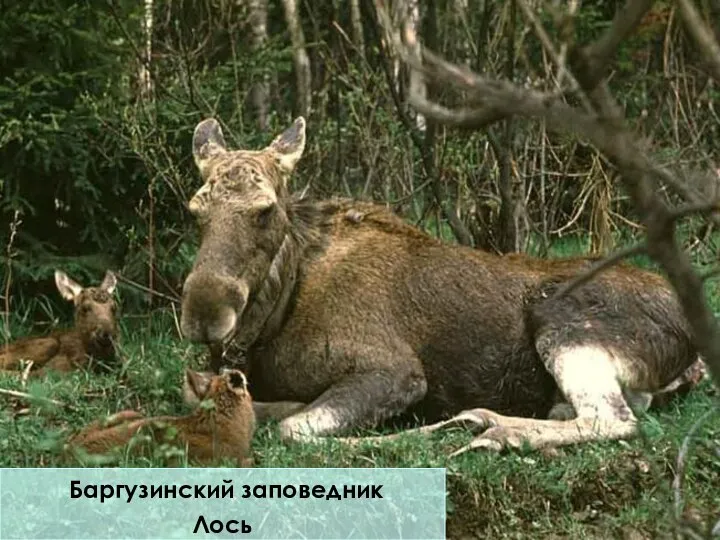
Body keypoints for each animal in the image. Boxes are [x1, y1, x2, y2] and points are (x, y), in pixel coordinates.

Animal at [179, 118, 708, 456]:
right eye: (195, 210)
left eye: (265, 210)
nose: (204, 314)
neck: (277, 315)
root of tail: (694, 344)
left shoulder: (396, 372)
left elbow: (295, 429)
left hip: (563, 320)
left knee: (614, 419)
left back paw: (492, 428)